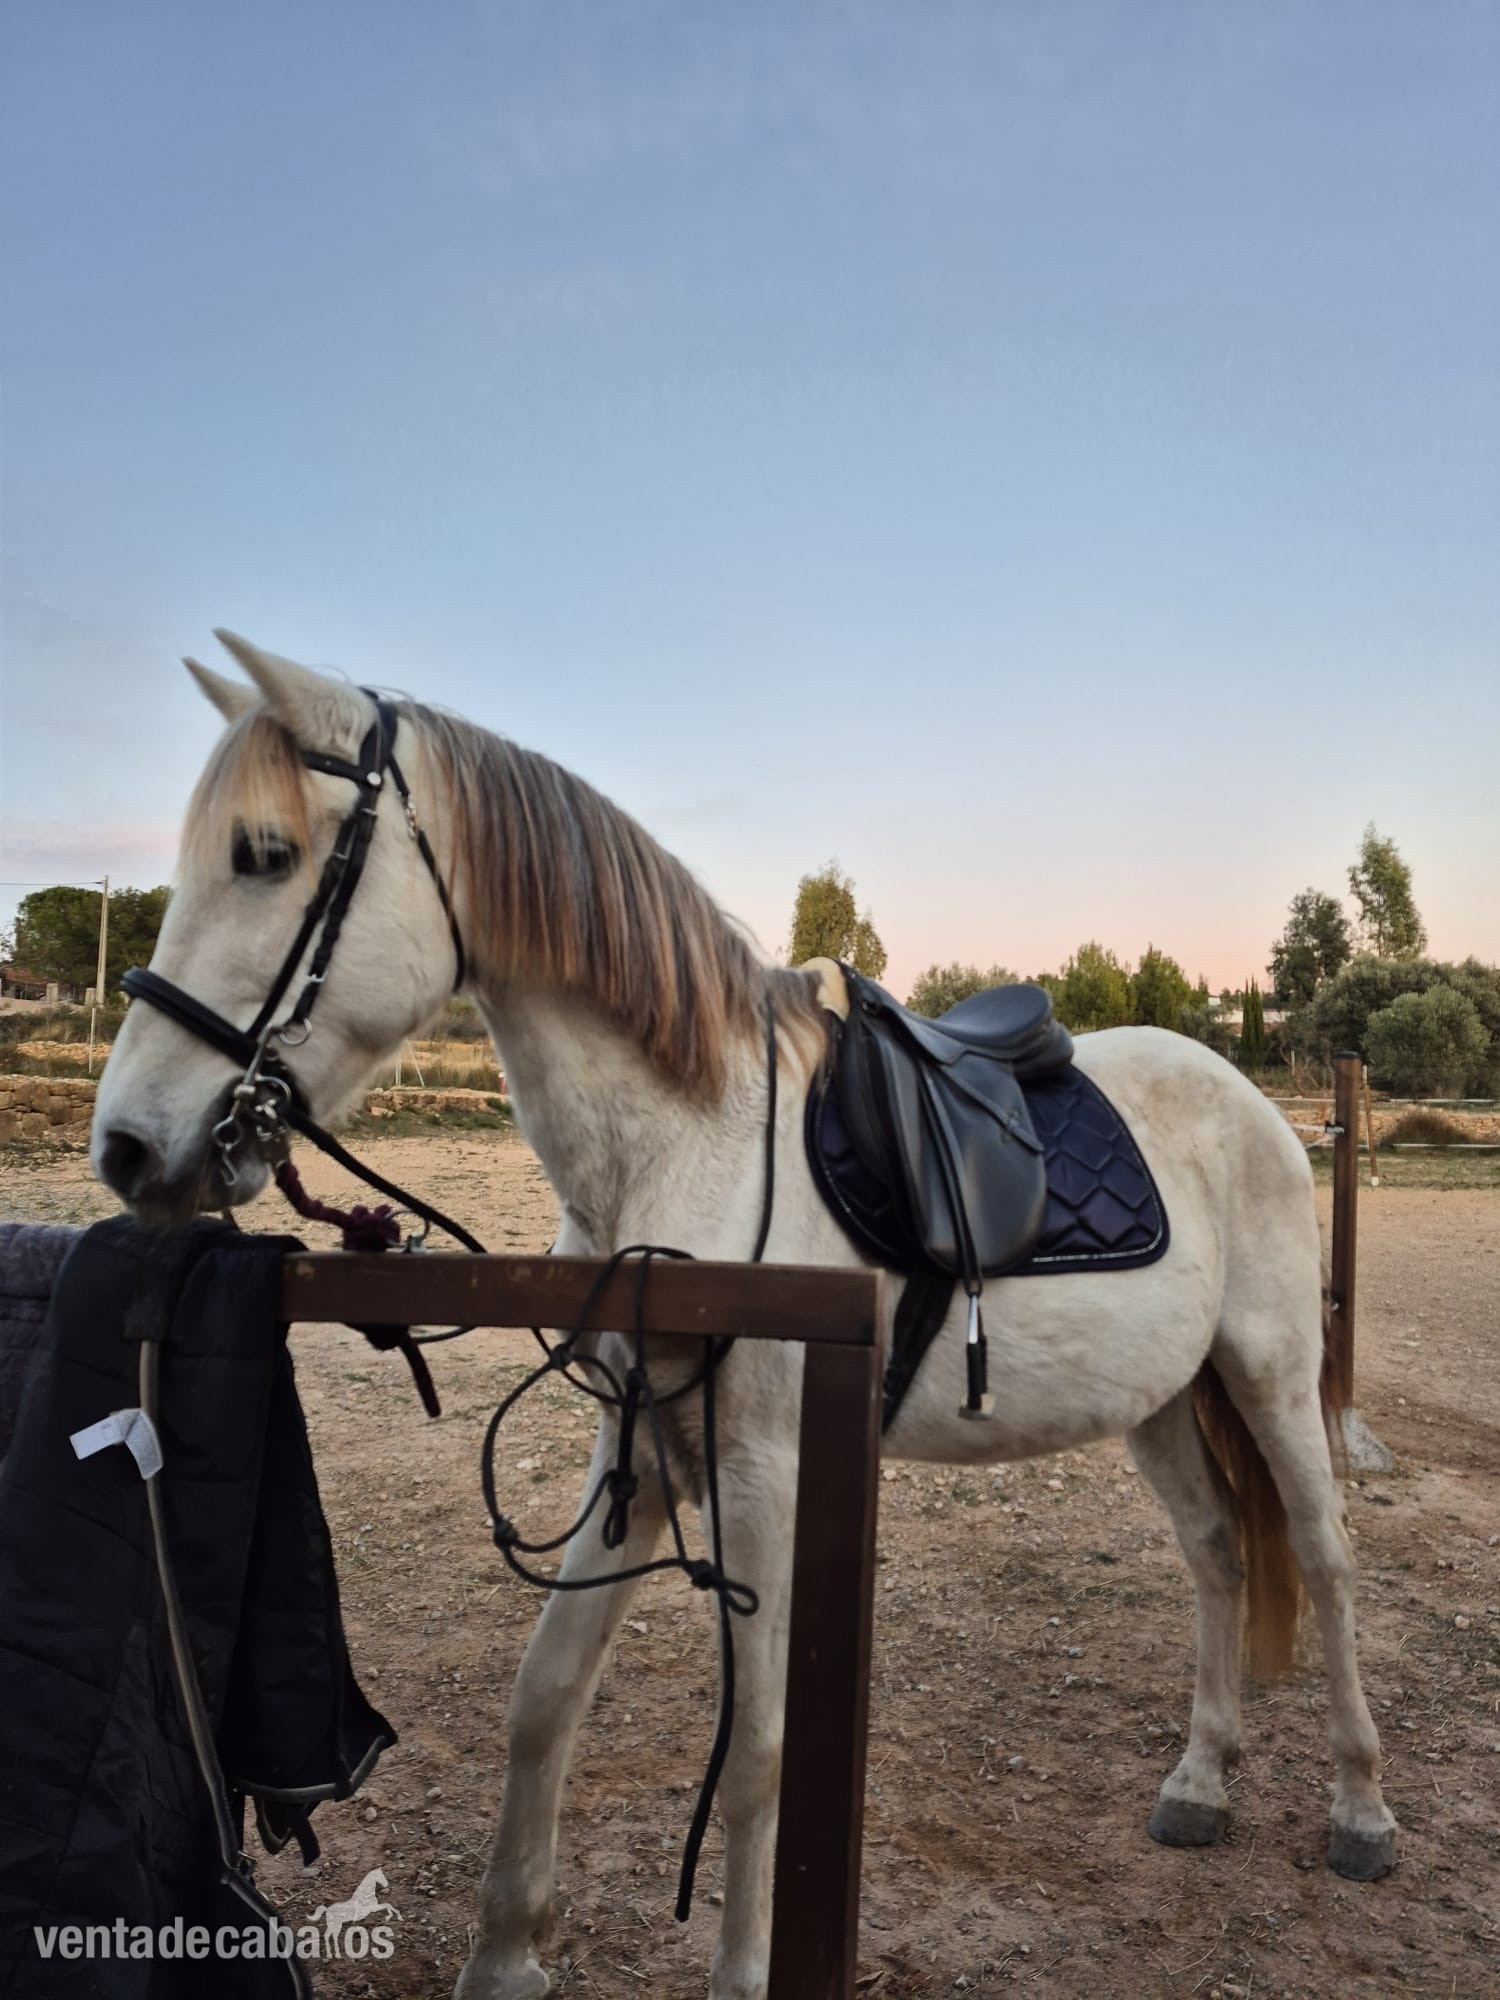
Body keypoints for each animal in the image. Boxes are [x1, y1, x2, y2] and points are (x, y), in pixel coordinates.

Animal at [93, 633, 1396, 2000]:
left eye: (264, 854)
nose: (126, 1147)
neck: (683, 1140)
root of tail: (1257, 1099)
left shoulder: (765, 1471)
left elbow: (761, 1746)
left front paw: (738, 1966)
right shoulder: (638, 1450)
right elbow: (545, 1692)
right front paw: (505, 1955)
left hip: (1268, 1373)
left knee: (1321, 1554)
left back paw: (1360, 1808)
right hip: (1157, 1399)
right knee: (1218, 1549)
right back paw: (1201, 1781)